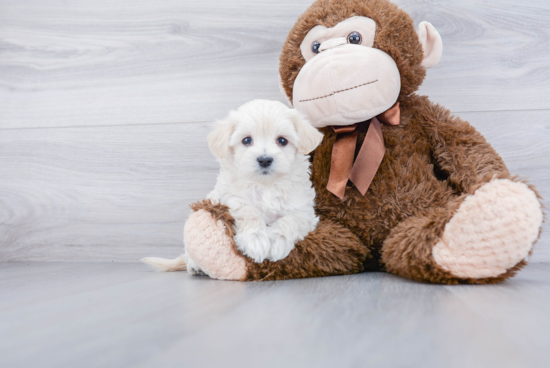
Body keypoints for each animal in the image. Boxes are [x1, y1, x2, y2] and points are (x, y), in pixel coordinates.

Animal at [142, 100, 324, 274]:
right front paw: (255, 240)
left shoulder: (304, 210)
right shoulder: (230, 199)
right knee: (189, 255)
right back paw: (195, 266)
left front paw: (277, 241)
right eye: (246, 140)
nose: (264, 159)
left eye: (282, 140)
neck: (265, 186)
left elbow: (291, 220)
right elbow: (249, 211)